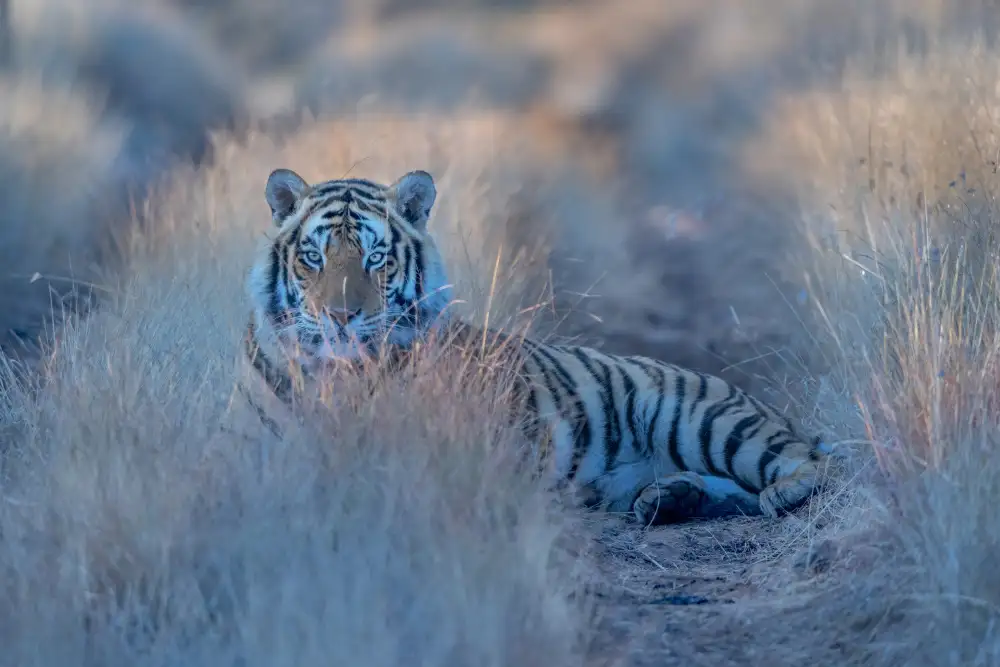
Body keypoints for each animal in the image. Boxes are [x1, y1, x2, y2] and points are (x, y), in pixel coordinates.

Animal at [237, 166, 828, 524]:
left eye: (375, 258)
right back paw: (669, 498)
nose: (339, 317)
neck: (334, 377)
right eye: (314, 257)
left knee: (811, 463)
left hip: (700, 418)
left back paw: (777, 491)